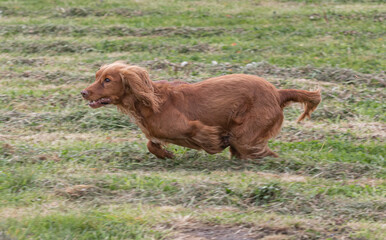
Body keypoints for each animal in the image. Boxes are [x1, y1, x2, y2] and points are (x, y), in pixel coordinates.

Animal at [82, 62, 322, 159]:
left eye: (107, 80)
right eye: (97, 77)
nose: (83, 92)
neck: (149, 101)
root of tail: (277, 93)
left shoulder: (192, 126)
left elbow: (204, 135)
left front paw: (216, 143)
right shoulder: (156, 134)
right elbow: (151, 144)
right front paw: (166, 154)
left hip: (246, 134)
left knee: (258, 151)